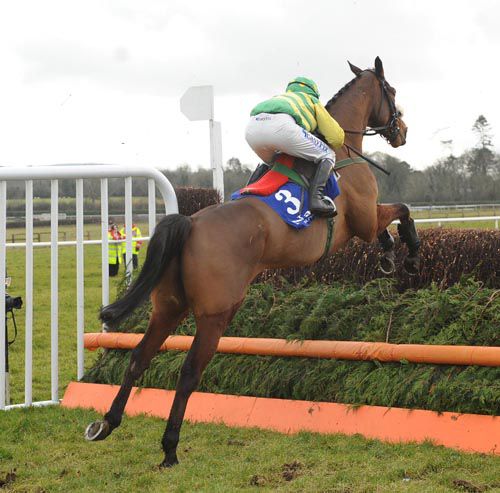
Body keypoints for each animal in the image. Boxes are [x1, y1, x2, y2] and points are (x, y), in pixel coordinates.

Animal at [85, 56, 420, 467]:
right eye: (392, 92)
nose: (402, 131)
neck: (341, 152)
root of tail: (191, 223)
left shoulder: (365, 223)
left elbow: (388, 225)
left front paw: (389, 253)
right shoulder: (363, 220)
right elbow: (401, 212)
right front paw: (410, 254)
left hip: (168, 307)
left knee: (139, 356)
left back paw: (107, 422)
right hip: (216, 314)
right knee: (189, 372)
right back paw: (170, 448)